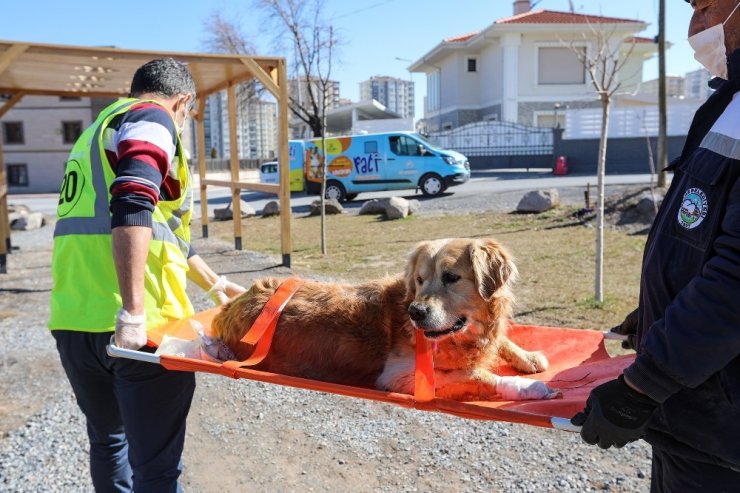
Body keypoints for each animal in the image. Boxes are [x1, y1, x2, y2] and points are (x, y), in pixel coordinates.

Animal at [211, 237, 556, 400]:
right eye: (419, 280)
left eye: (451, 277)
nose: (416, 312)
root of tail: (232, 305)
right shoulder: (399, 376)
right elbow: (473, 376)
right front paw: (527, 388)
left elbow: (501, 341)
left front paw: (527, 356)